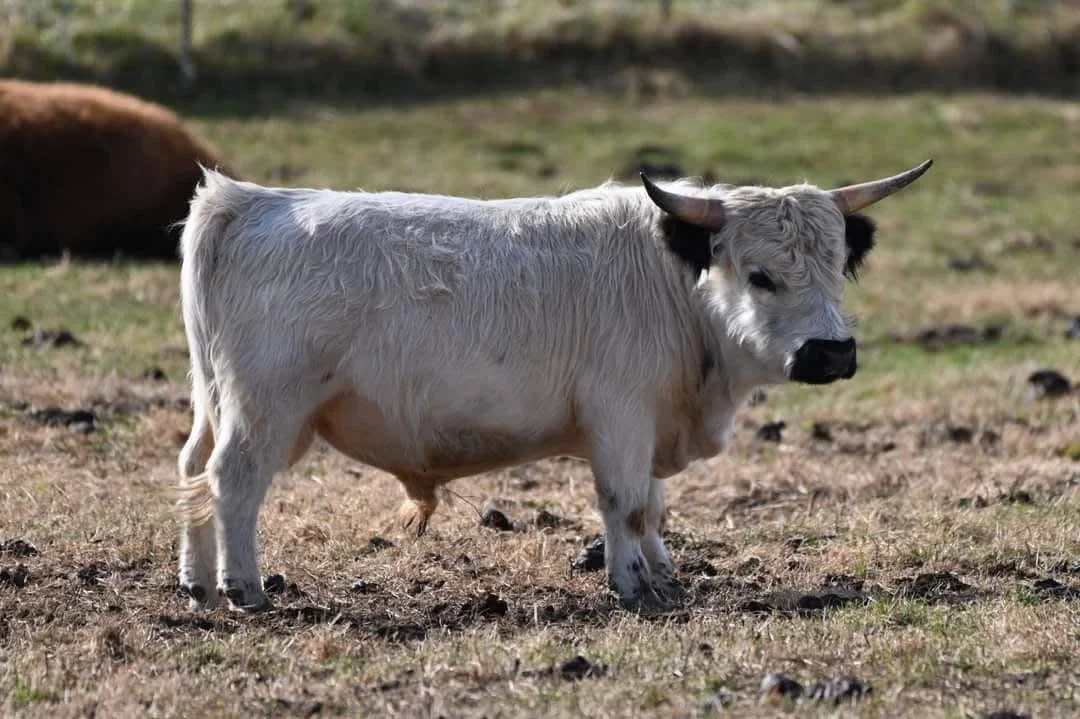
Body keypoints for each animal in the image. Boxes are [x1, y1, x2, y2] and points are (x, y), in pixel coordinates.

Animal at [174, 159, 932, 613]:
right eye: (760, 275)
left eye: (837, 268)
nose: (831, 352)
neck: (671, 285)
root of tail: (248, 201)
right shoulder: (620, 417)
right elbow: (625, 503)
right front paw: (631, 584)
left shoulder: (649, 425)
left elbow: (654, 509)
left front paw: (663, 572)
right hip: (264, 412)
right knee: (232, 480)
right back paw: (243, 586)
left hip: (213, 402)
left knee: (191, 471)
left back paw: (196, 580)